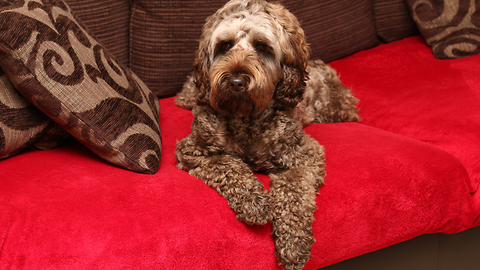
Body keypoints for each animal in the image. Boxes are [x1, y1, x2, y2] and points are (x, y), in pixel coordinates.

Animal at [174, 1, 358, 268]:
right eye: (225, 45)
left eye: (262, 47)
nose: (236, 81)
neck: (246, 117)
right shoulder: (192, 151)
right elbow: (228, 165)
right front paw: (254, 201)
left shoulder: (304, 157)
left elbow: (293, 192)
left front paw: (293, 242)